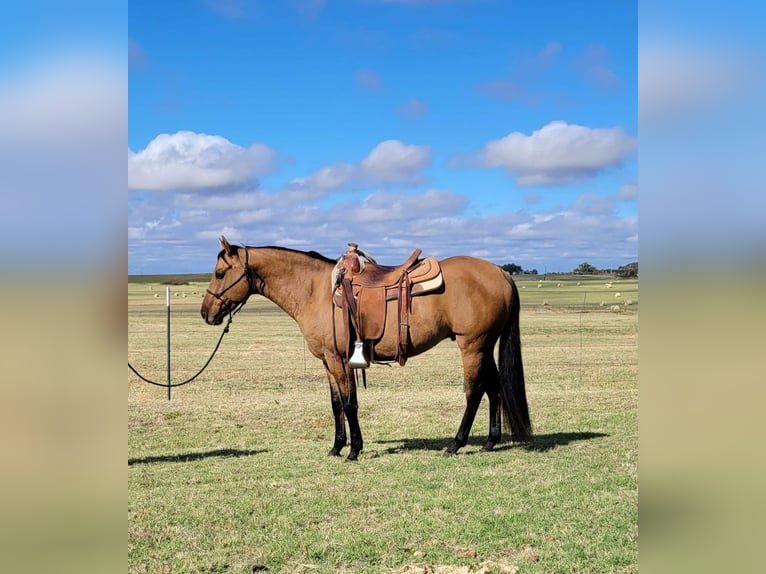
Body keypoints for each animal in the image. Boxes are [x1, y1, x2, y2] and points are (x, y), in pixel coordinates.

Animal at [201, 236, 532, 462]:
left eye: (219, 274)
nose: (206, 313)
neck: (315, 291)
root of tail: (501, 272)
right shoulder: (329, 362)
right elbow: (336, 404)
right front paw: (337, 446)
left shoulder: (339, 360)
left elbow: (350, 404)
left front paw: (354, 450)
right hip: (485, 345)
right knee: (494, 388)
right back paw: (490, 441)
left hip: (472, 345)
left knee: (474, 392)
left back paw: (456, 443)